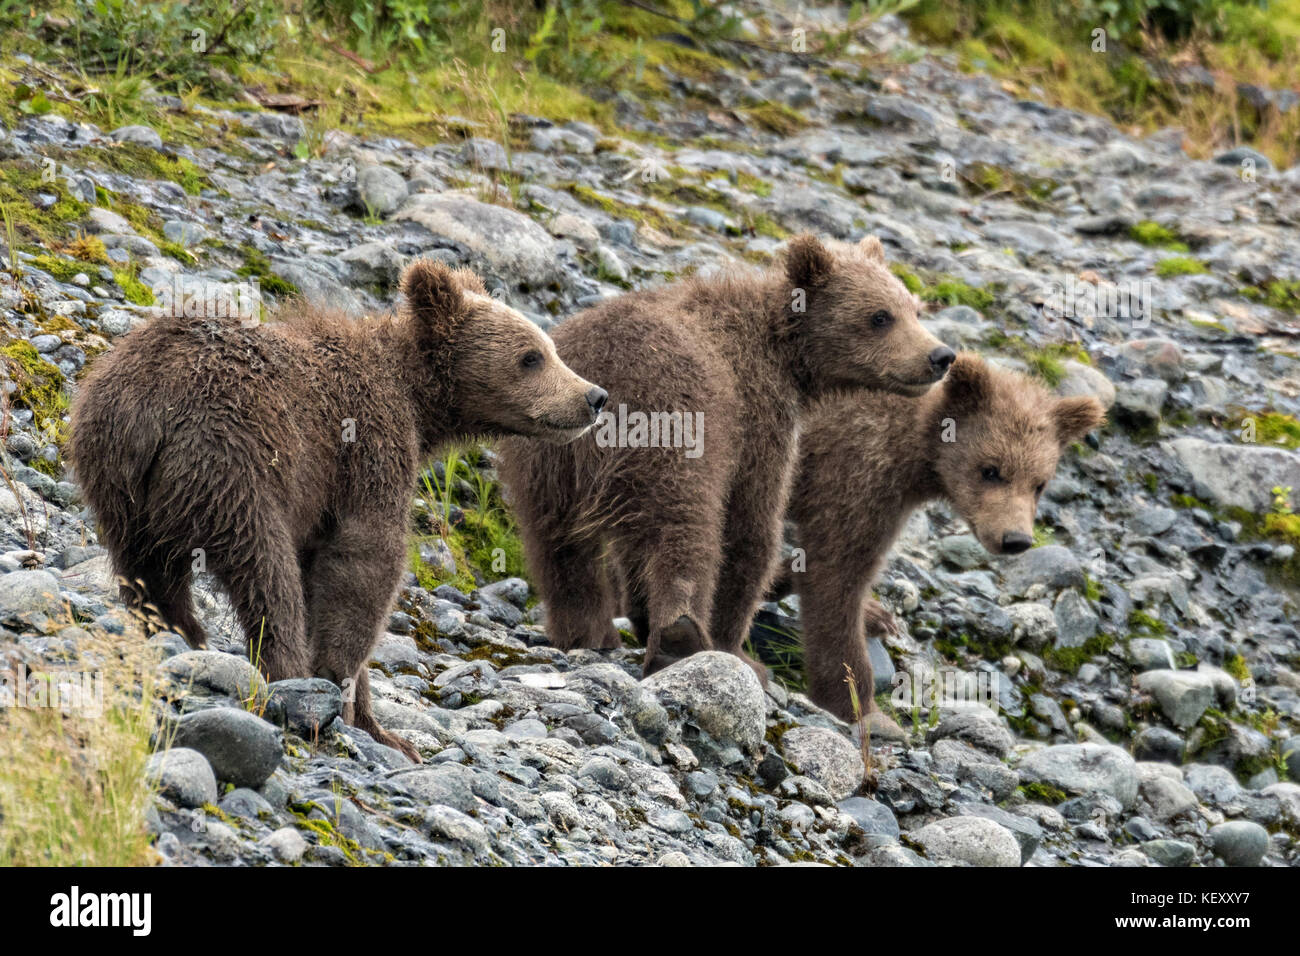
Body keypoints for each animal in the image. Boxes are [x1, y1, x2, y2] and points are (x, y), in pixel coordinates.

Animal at [69, 260, 606, 762]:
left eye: (549, 348)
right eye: (531, 356)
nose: (594, 396)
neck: (418, 401)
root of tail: (149, 402)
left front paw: (380, 728)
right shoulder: (368, 443)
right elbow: (365, 562)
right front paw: (345, 696)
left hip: (115, 476)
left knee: (147, 567)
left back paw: (179, 634)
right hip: (235, 462)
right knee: (266, 570)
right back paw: (284, 676)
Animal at [497, 234, 955, 681]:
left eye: (914, 310)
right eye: (880, 316)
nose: (941, 356)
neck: (787, 357)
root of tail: (603, 374)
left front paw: (640, 615)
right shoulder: (757, 419)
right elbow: (750, 524)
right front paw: (736, 647)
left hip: (549, 458)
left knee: (556, 543)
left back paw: (587, 631)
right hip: (673, 425)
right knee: (687, 528)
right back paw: (680, 635)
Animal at [774, 352, 1106, 724]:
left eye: (1039, 483)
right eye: (990, 469)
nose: (1015, 539)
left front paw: (873, 614)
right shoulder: (855, 473)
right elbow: (835, 576)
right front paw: (859, 704)